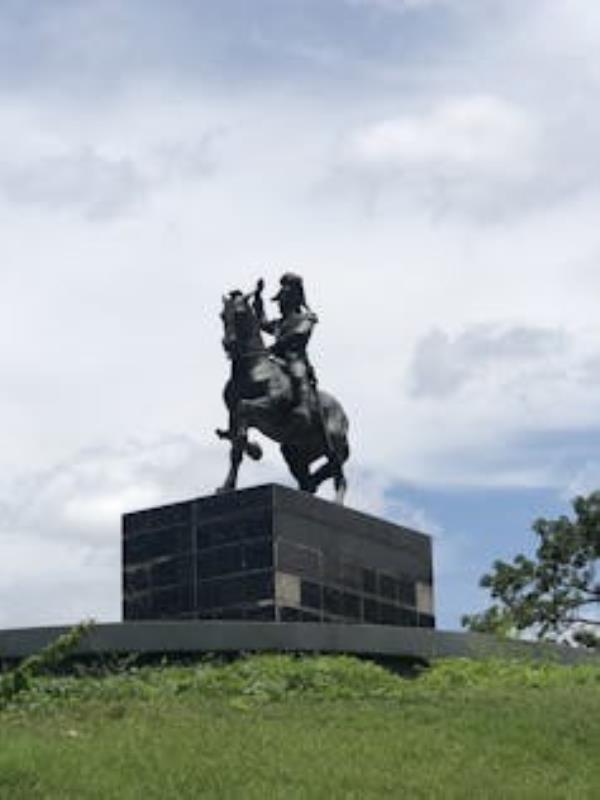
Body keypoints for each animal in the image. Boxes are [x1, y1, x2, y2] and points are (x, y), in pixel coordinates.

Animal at [216, 290, 350, 504]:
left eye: (239, 313)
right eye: (222, 315)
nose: (228, 344)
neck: (253, 370)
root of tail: (344, 416)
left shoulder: (267, 408)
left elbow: (243, 411)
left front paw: (253, 451)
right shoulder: (233, 416)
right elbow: (235, 443)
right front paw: (229, 483)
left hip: (334, 451)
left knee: (340, 479)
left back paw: (337, 503)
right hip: (294, 454)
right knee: (308, 482)